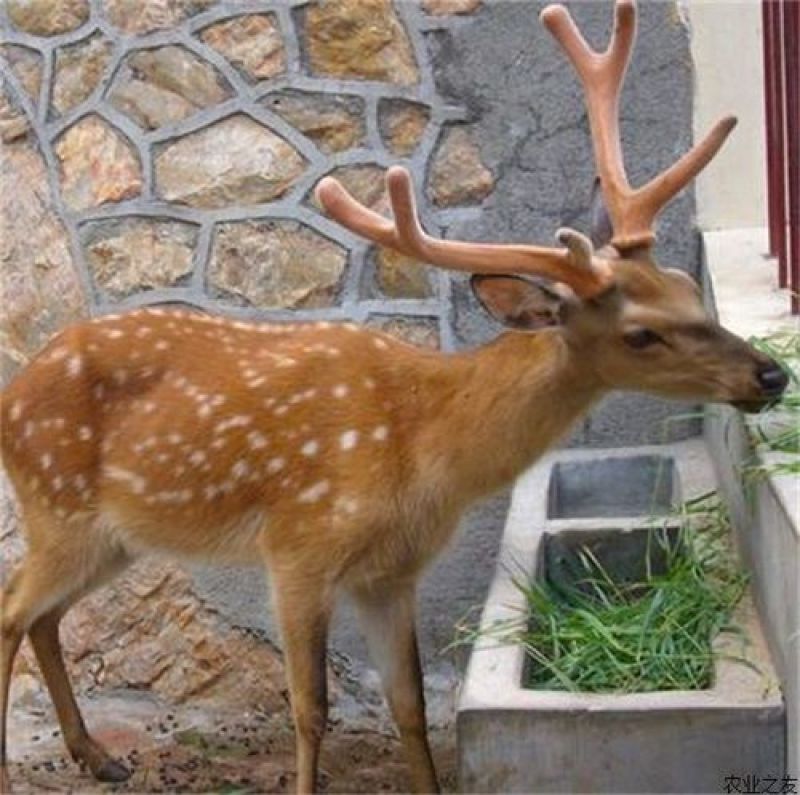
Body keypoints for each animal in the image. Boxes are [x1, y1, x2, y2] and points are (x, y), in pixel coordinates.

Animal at [0, 1, 789, 793]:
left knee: (42, 615)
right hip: (58, 504)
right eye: (641, 334)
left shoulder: (391, 573)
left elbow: (408, 703)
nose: (771, 374)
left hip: (114, 535)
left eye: (686, 287)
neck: (422, 450)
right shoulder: (298, 548)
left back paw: (96, 754)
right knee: (12, 608)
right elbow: (310, 707)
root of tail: (13, 394)